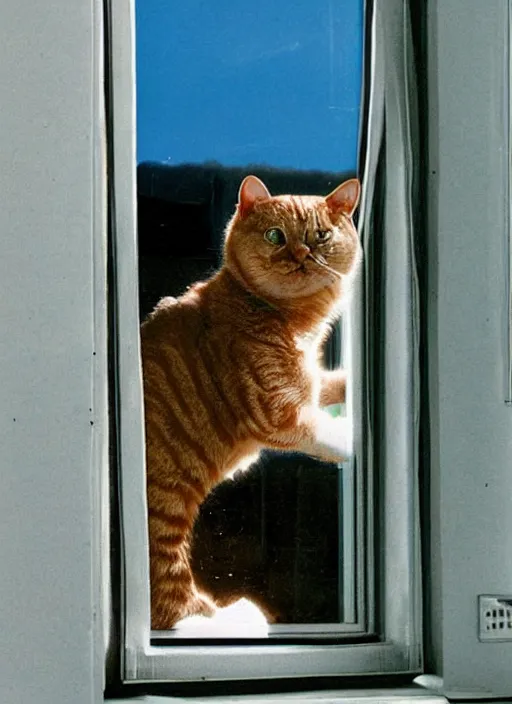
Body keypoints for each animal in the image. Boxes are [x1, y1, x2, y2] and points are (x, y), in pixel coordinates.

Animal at [142, 175, 362, 628]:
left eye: (320, 235)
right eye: (275, 236)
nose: (301, 254)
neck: (295, 320)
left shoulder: (311, 385)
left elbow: (334, 384)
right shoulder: (278, 412)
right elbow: (330, 432)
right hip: (166, 517)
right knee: (175, 609)